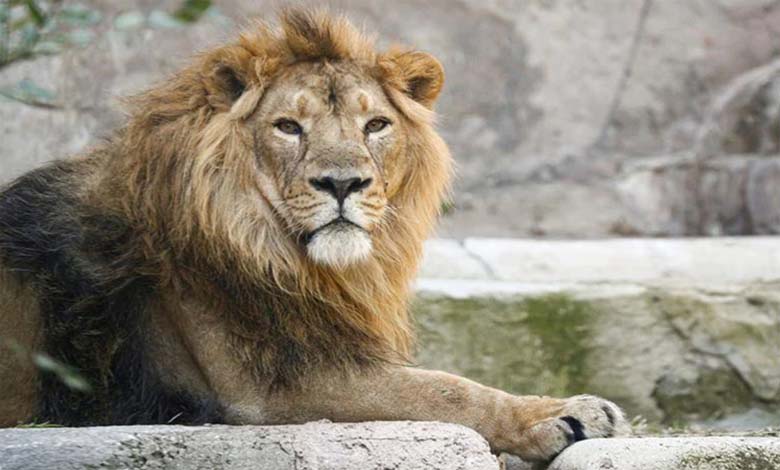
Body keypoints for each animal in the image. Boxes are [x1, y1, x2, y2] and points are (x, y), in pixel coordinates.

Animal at [0, 10, 627, 461]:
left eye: (376, 125)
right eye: (287, 126)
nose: (342, 183)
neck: (288, 257)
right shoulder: (268, 391)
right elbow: (445, 389)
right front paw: (562, 414)